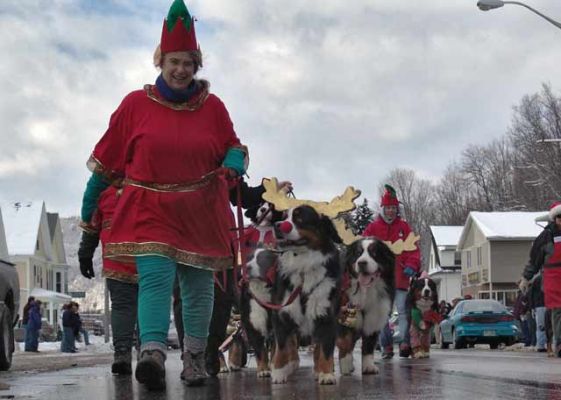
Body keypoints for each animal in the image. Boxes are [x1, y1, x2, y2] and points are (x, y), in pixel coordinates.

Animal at [268, 206, 342, 384]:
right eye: (284, 216)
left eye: (299, 218)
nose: (277, 225)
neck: (303, 266)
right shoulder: (282, 313)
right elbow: (282, 346)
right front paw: (279, 372)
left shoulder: (326, 315)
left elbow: (325, 349)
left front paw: (326, 373)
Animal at [334, 238, 396, 376]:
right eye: (358, 253)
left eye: (374, 253)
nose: (362, 263)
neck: (366, 290)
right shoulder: (344, 313)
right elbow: (345, 340)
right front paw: (346, 365)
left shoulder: (375, 315)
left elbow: (368, 344)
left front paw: (368, 366)